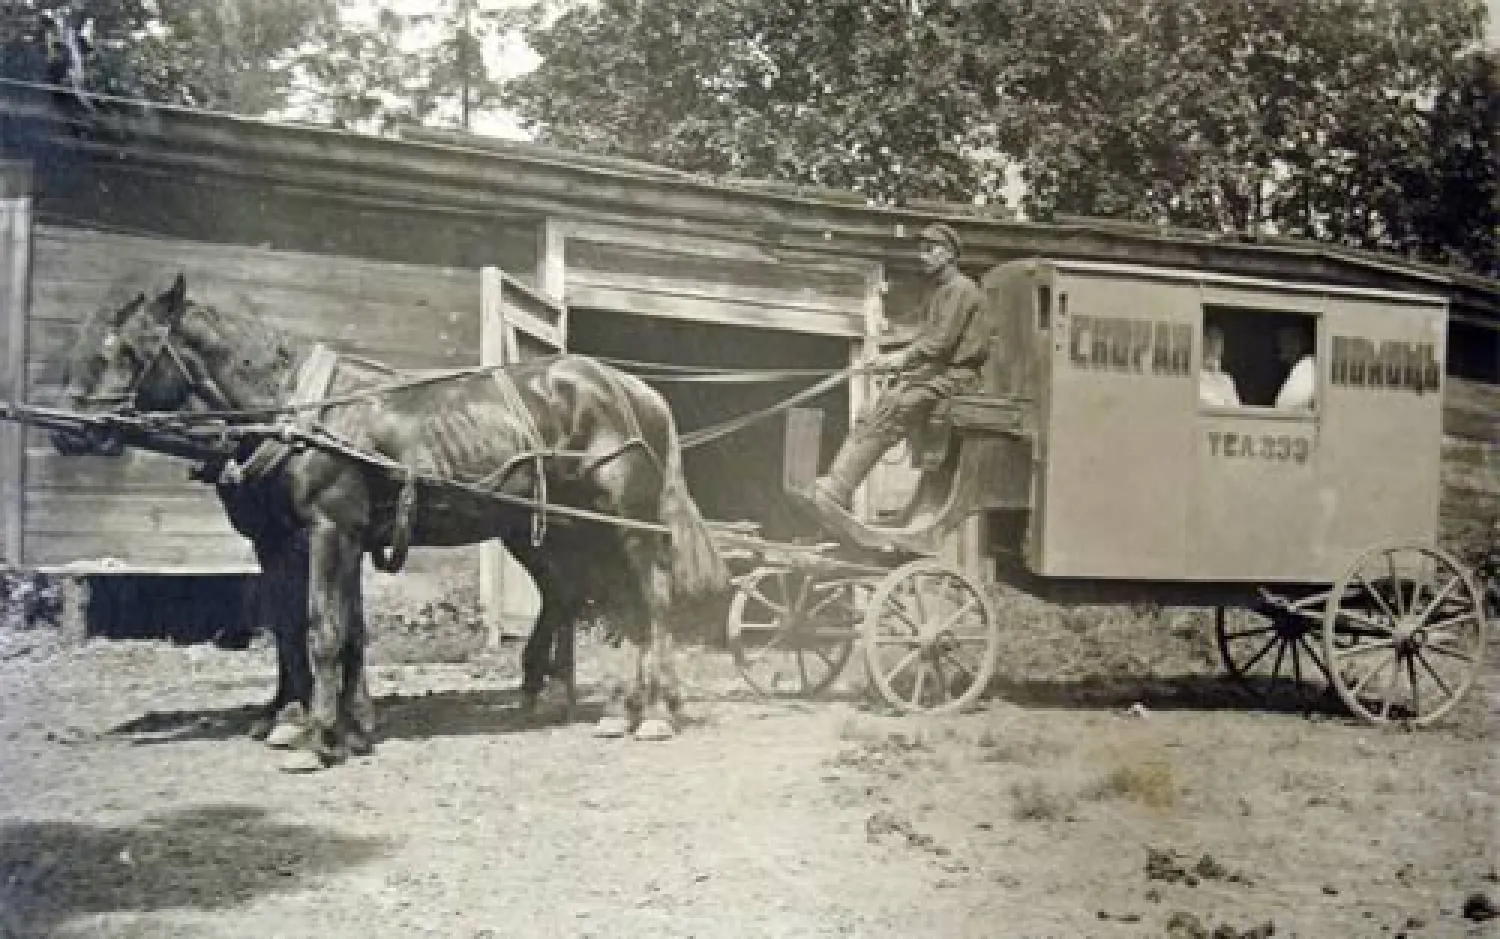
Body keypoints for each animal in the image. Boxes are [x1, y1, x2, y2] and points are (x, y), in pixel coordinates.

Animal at [57, 270, 732, 768]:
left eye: (125, 352)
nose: (69, 428)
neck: (299, 414)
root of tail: (633, 389)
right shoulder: (301, 541)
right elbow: (321, 631)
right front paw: (337, 726)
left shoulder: (329, 531)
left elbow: (322, 630)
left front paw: (315, 738)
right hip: (560, 530)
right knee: (594, 600)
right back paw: (602, 705)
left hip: (627, 525)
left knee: (650, 601)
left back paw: (654, 713)